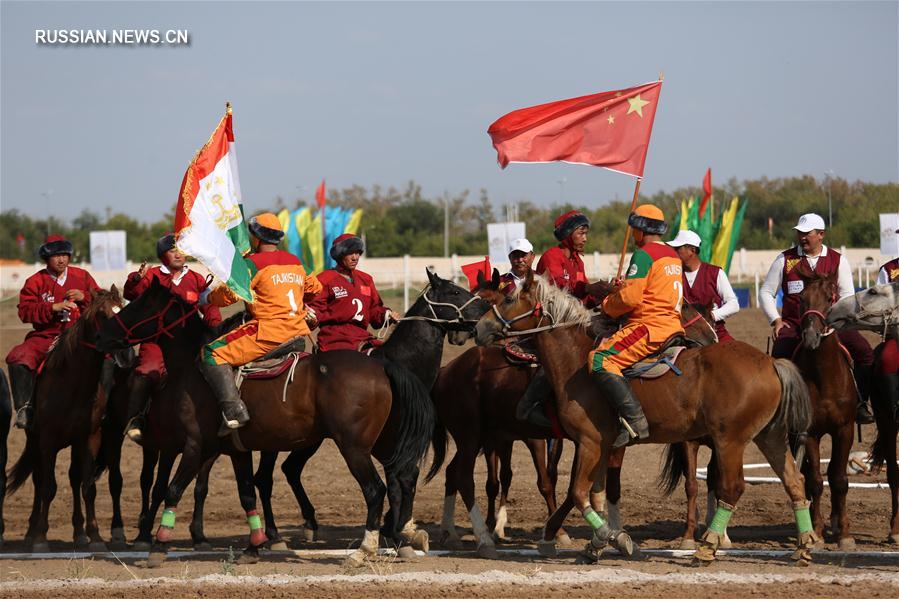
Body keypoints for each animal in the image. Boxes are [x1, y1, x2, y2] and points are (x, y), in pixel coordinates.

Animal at [6, 288, 125, 552]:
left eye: (123, 309)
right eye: (103, 315)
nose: (124, 348)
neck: (73, 384)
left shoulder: (89, 438)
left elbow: (88, 487)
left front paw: (95, 537)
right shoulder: (48, 440)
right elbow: (48, 487)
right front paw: (40, 538)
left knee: (73, 478)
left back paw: (79, 533)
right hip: (36, 439)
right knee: (39, 480)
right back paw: (31, 532)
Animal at [94, 276, 436, 568]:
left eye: (136, 306)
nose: (103, 336)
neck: (195, 371)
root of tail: (381, 366)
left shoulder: (195, 447)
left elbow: (174, 490)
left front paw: (159, 546)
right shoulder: (237, 451)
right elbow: (247, 493)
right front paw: (254, 546)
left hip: (353, 448)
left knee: (375, 489)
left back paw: (364, 550)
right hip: (383, 443)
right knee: (400, 478)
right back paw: (404, 534)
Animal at [482, 272, 820, 568]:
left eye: (509, 297)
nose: (481, 327)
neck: (576, 362)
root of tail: (771, 362)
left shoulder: (590, 443)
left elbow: (579, 493)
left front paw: (605, 537)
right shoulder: (603, 445)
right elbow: (595, 491)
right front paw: (601, 543)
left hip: (730, 441)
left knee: (733, 488)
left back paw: (708, 546)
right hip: (770, 437)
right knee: (794, 481)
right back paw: (804, 546)